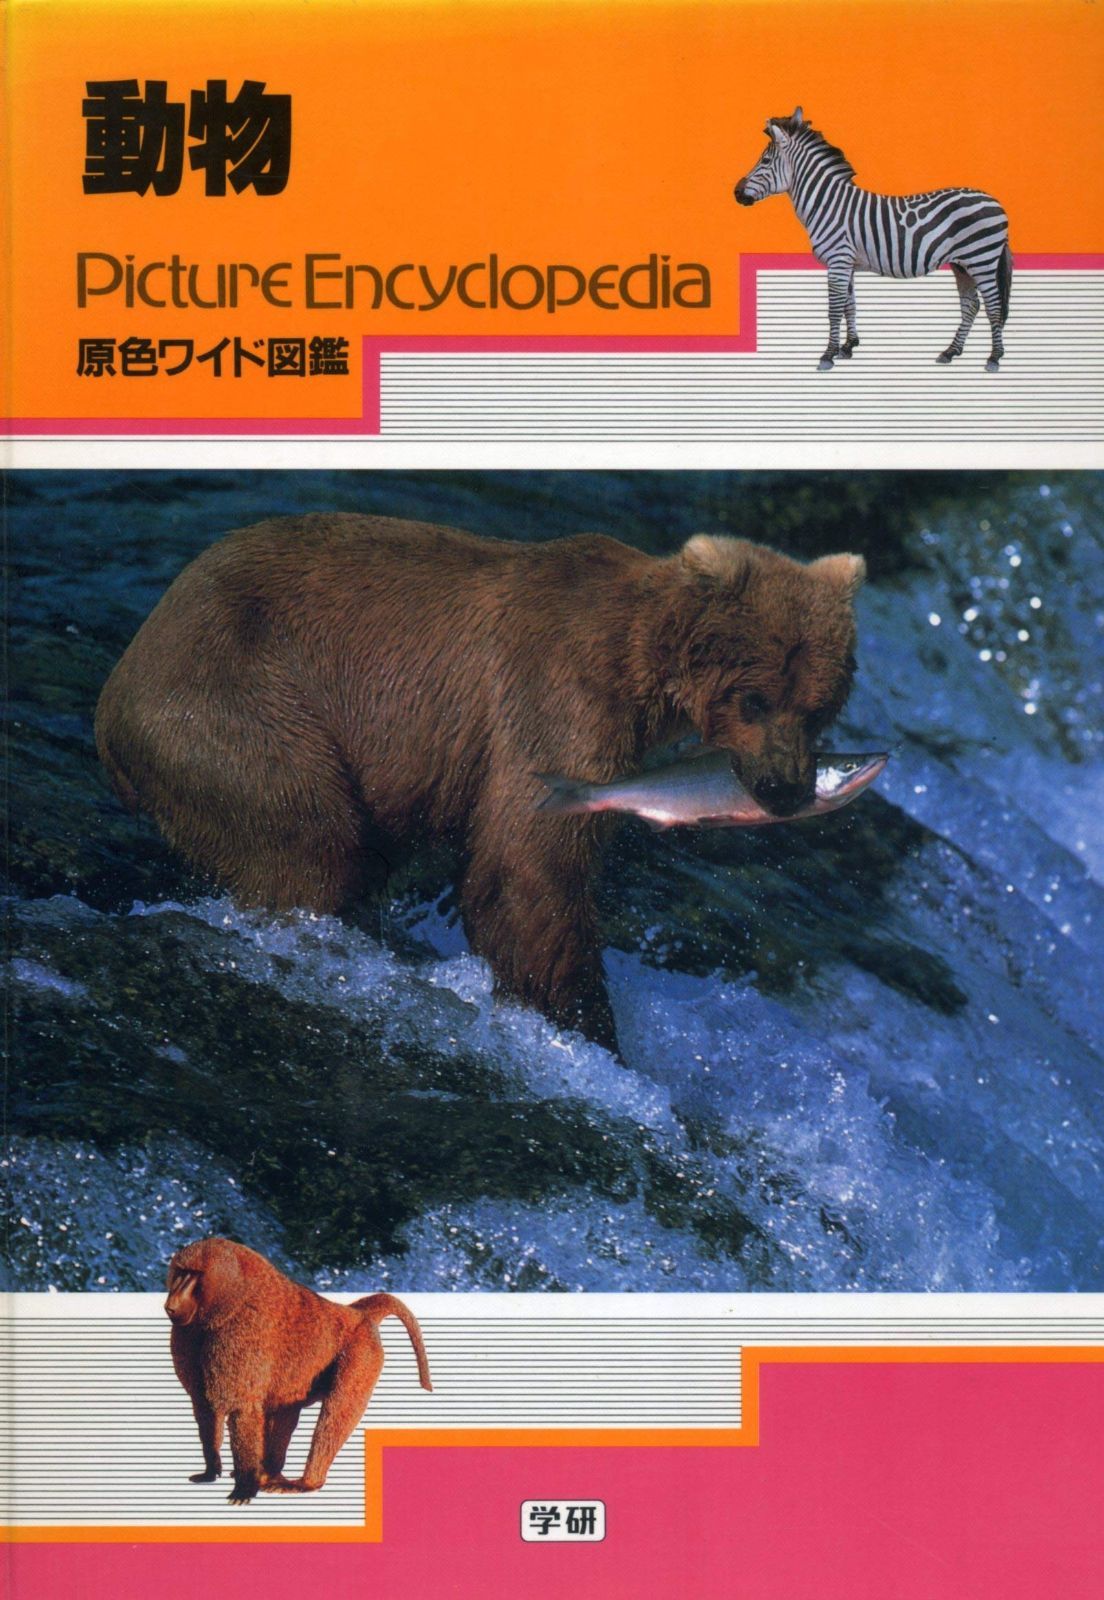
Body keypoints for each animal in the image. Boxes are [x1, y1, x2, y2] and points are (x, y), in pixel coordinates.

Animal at [95, 515, 864, 1055]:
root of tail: (110, 703)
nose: (785, 787)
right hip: (235, 704)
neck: (643, 664)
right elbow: (526, 864)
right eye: (755, 698)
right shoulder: (554, 695)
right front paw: (585, 1026)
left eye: (819, 707)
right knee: (309, 842)